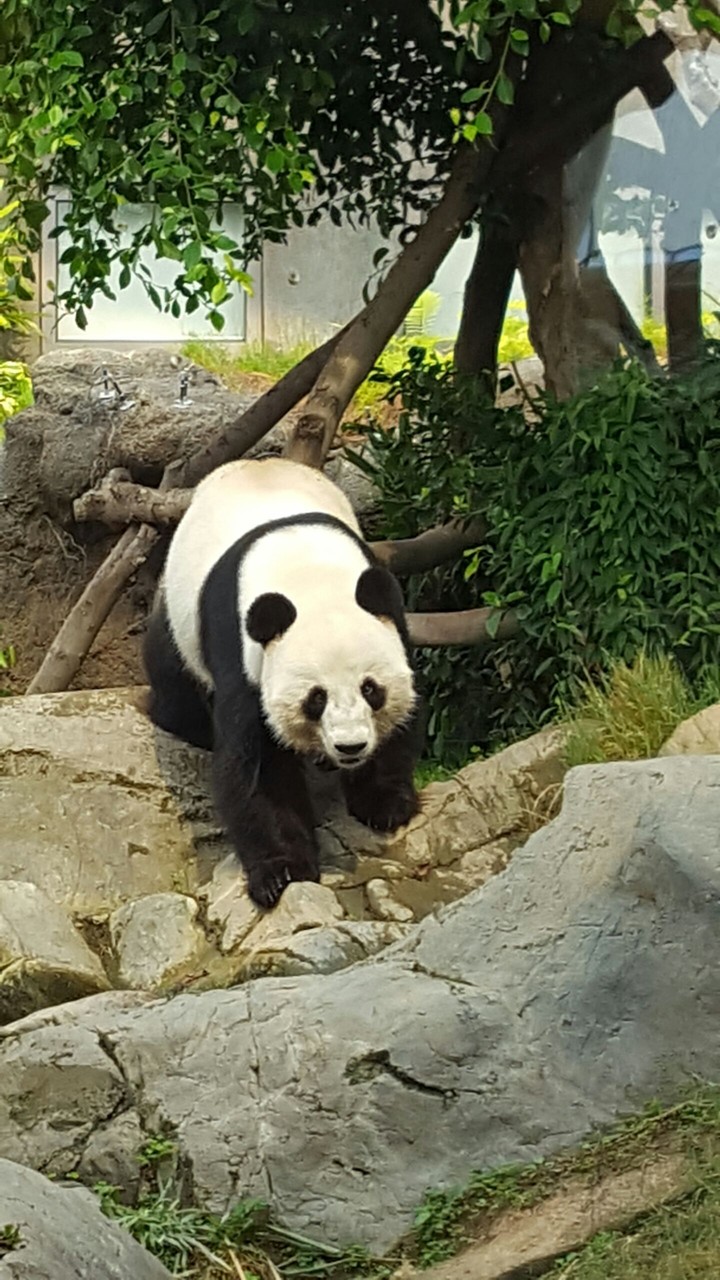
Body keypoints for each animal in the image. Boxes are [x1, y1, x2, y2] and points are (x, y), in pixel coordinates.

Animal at [143, 457, 423, 909]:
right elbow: (257, 765)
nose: (350, 747)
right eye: (316, 698)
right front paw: (282, 872)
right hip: (178, 614)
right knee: (174, 682)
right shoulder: (241, 648)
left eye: (371, 689)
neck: (310, 577)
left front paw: (385, 805)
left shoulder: (388, 615)